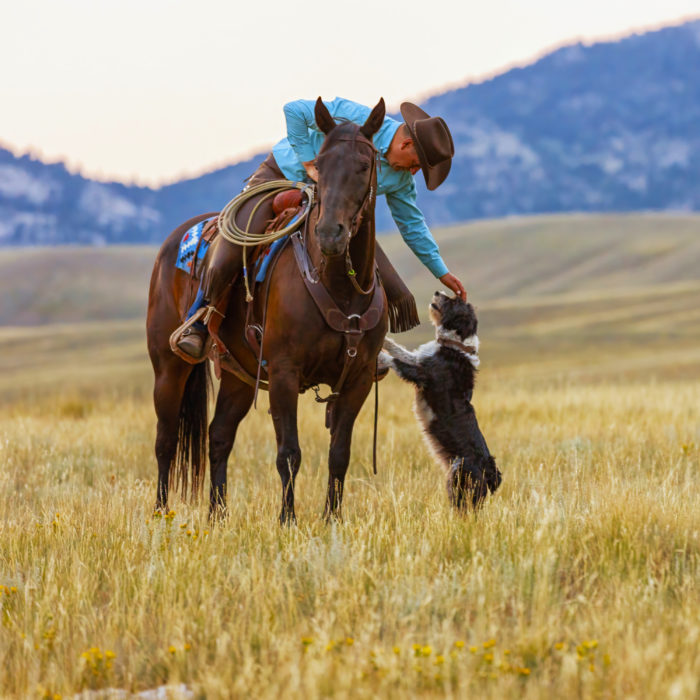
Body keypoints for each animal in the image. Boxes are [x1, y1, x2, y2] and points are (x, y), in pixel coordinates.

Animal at [146, 101, 388, 524]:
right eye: (319, 166)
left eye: (363, 164)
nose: (330, 234)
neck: (339, 288)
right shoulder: (284, 373)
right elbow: (289, 453)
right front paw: (287, 521)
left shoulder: (358, 378)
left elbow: (339, 455)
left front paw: (331, 519)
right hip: (168, 367)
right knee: (166, 440)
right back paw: (161, 513)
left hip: (238, 375)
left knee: (219, 436)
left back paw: (218, 515)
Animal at [380, 292, 500, 508]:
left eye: (453, 301)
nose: (438, 292)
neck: (455, 346)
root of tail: (490, 472)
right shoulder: (420, 359)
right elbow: (399, 350)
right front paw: (383, 339)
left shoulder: (423, 375)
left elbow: (396, 361)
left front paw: (379, 357)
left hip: (459, 474)